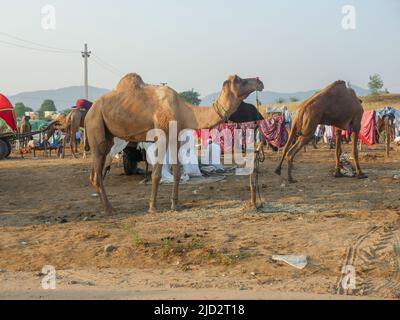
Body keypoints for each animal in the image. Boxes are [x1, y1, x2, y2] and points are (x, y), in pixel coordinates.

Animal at [85, 73, 262, 215]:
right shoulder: (162, 135)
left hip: (107, 136)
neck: (184, 110)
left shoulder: (175, 137)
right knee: (96, 172)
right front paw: (153, 207)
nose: (259, 82)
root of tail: (89, 111)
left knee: (95, 173)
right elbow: (156, 174)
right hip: (95, 125)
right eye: (240, 80)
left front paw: (175, 204)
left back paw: (107, 207)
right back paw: (110, 209)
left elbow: (177, 172)